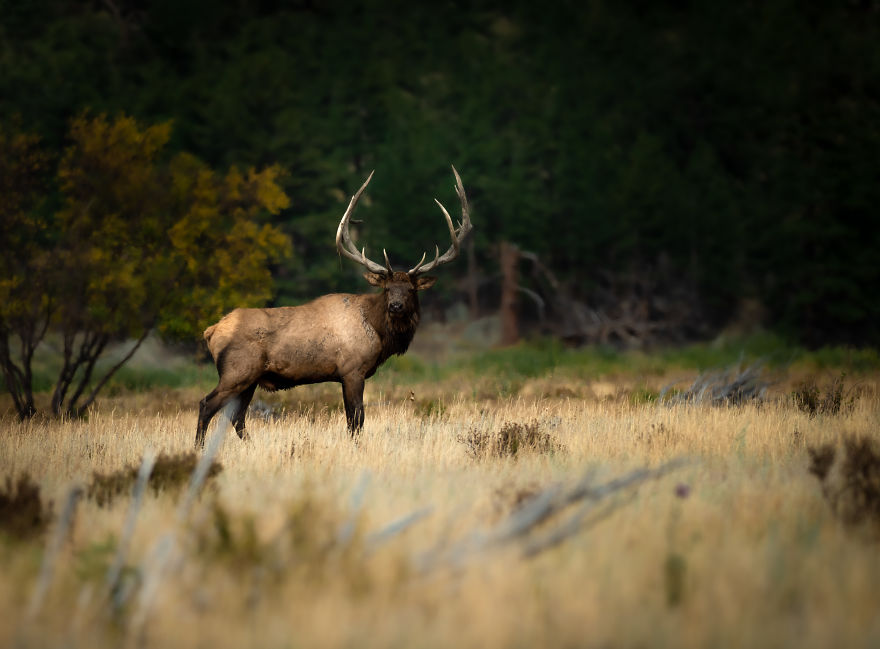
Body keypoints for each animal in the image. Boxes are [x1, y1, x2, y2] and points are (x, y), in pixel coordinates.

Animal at [195, 166, 472, 448]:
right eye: (386, 288)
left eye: (411, 290)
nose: (396, 306)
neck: (379, 333)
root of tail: (211, 330)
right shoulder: (352, 370)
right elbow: (356, 420)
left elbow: (352, 420)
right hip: (236, 372)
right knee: (207, 404)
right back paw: (199, 447)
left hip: (249, 380)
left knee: (237, 417)